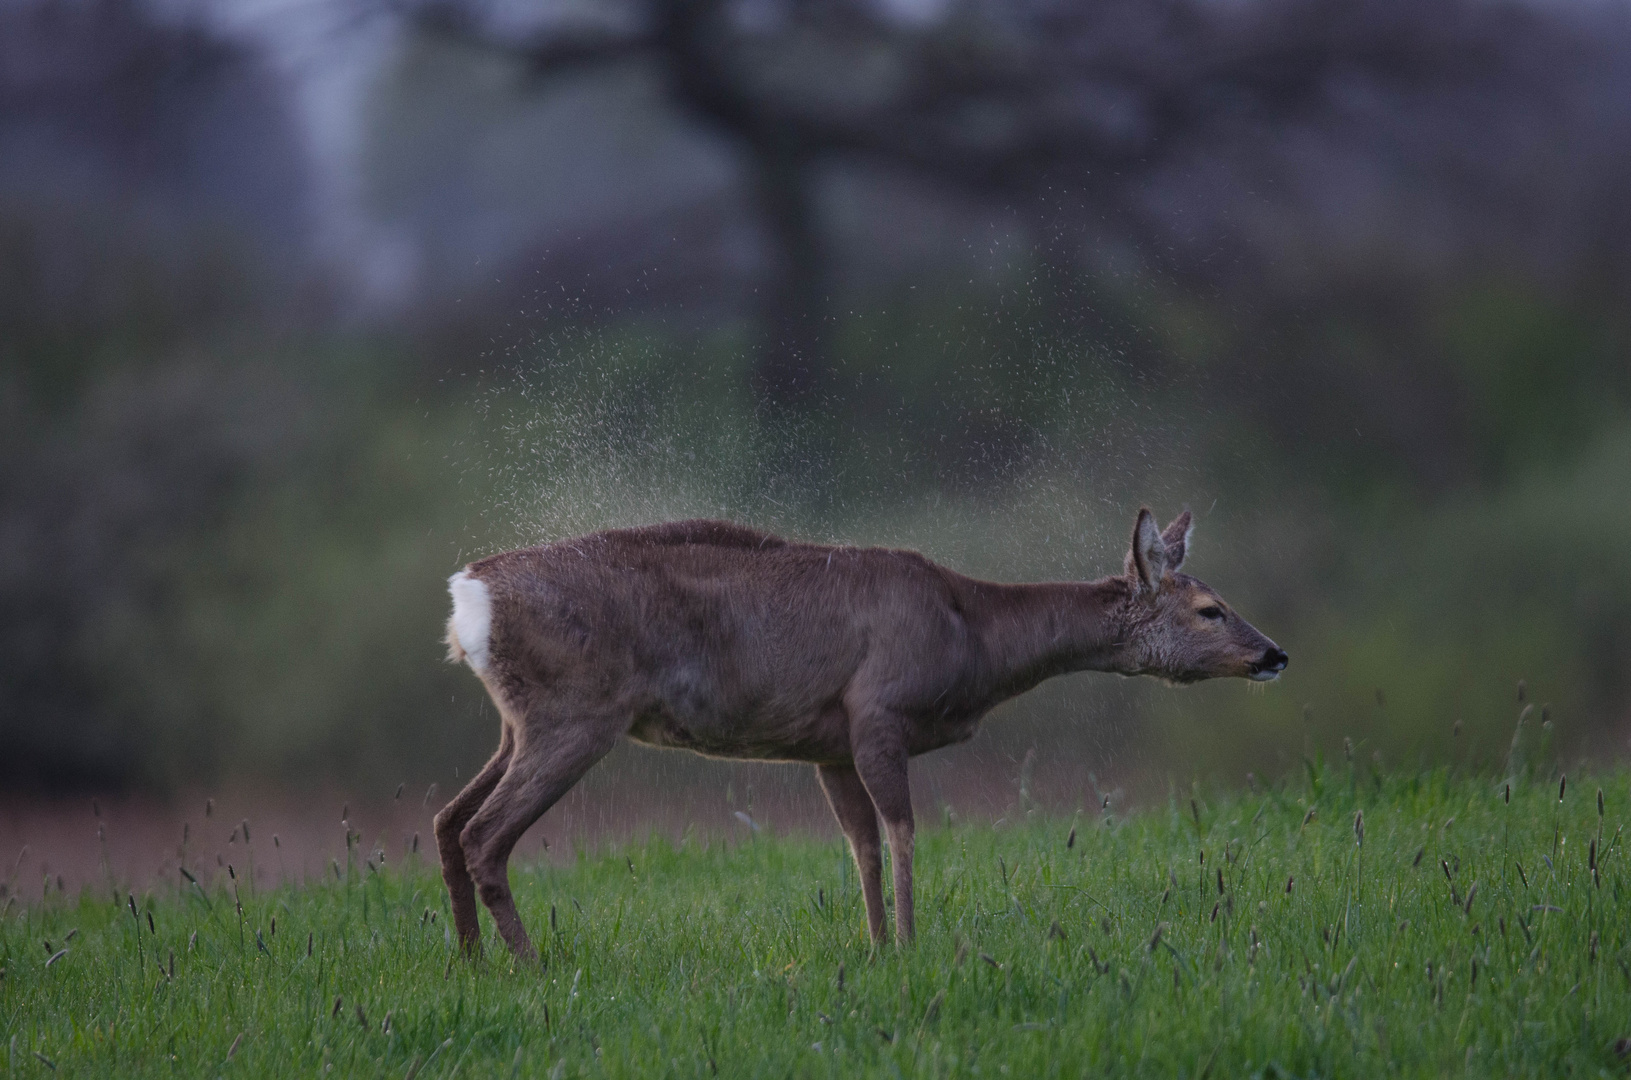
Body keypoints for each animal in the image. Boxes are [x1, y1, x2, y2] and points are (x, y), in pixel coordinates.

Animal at [437, 509, 1285, 959]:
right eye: (1208, 608)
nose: (1273, 655)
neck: (972, 634)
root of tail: (467, 596)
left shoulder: (827, 742)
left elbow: (861, 845)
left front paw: (874, 947)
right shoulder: (877, 710)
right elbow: (903, 831)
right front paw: (911, 945)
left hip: (521, 721)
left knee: (448, 820)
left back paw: (474, 964)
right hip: (575, 713)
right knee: (484, 833)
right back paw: (531, 966)